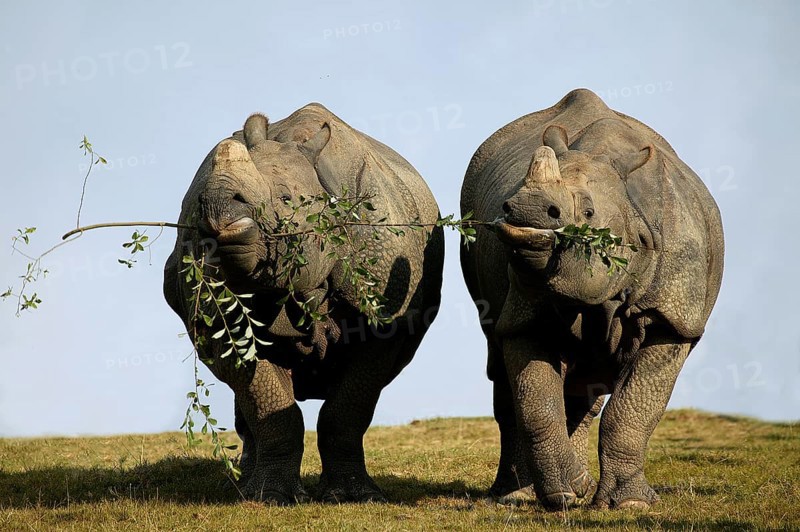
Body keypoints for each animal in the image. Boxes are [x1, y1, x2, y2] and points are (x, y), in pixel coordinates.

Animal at [164, 104, 444, 503]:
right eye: (199, 204)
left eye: (285, 200)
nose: (216, 207)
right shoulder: (221, 319)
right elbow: (269, 404)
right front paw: (271, 498)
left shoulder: (383, 316)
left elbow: (347, 409)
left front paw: (353, 496)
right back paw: (242, 488)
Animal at [460, 89, 724, 509]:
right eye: (509, 201)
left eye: (587, 212)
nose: (523, 209)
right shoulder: (523, 311)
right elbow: (536, 401)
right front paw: (567, 492)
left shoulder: (673, 318)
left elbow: (632, 408)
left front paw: (630, 504)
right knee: (502, 358)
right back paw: (517, 496)